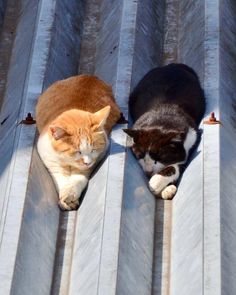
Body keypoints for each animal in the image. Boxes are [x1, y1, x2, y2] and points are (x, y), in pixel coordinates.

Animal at [37, 75, 121, 212]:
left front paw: (71, 194)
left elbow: (78, 178)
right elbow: (61, 178)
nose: (87, 162)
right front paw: (65, 197)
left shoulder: (95, 159)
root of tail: (90, 76)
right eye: (78, 152)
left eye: (93, 149)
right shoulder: (50, 160)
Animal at [124, 63, 206, 200]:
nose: (148, 171)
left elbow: (178, 165)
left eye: (161, 156)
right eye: (139, 154)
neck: (162, 121)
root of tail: (173, 65)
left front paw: (157, 182)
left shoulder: (193, 138)